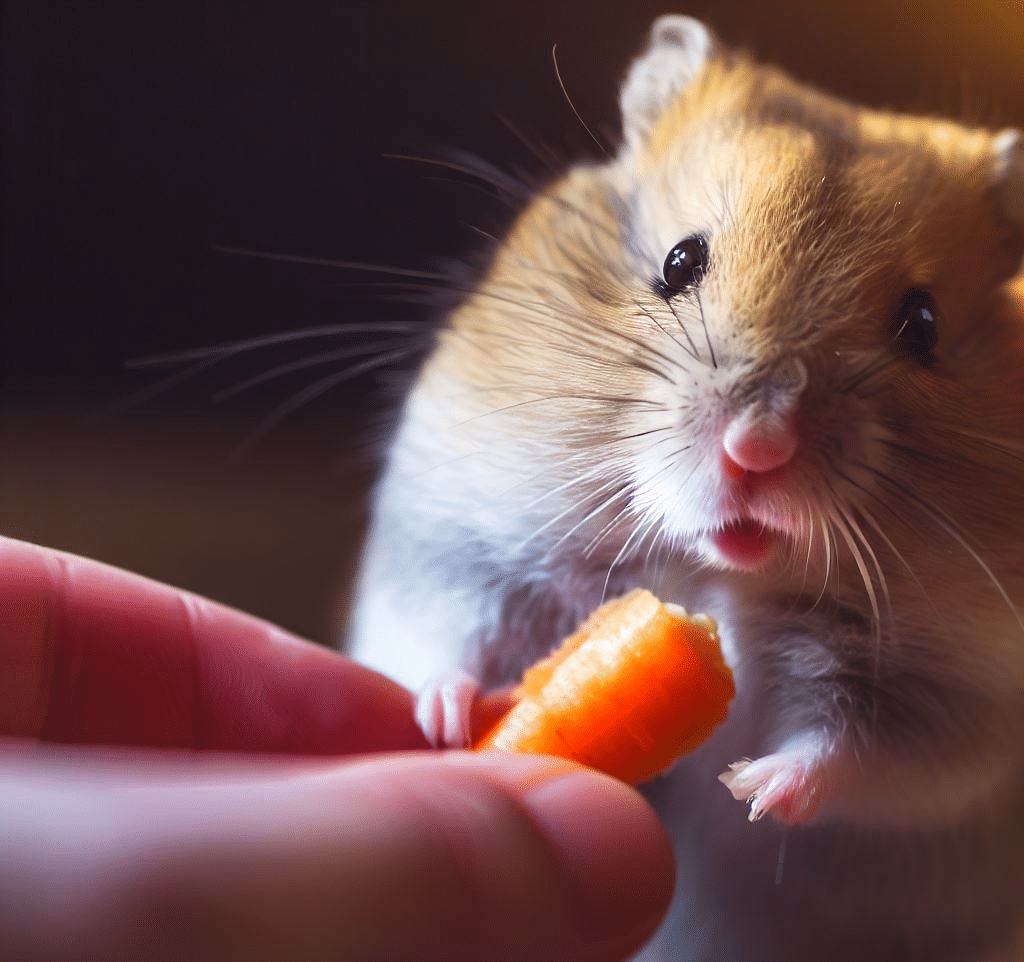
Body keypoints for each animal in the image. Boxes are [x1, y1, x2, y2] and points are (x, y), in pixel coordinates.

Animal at [346, 16, 1024, 962]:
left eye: (922, 324)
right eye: (679, 261)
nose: (757, 448)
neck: (714, 570)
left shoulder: (958, 694)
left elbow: (860, 749)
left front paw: (751, 787)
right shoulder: (460, 542)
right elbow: (447, 641)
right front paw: (447, 722)